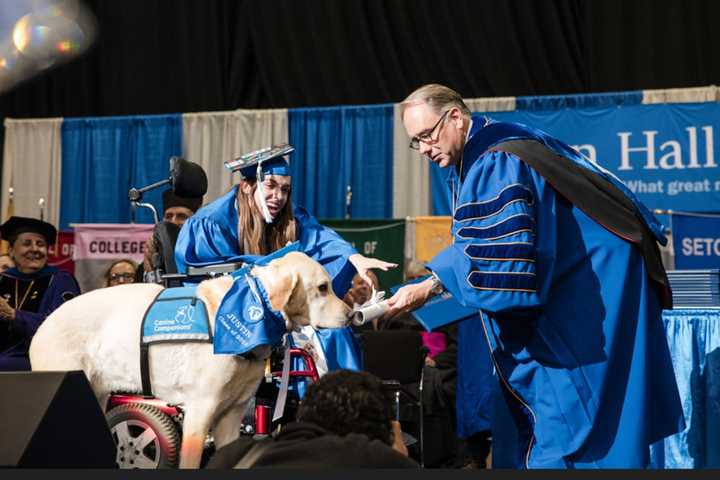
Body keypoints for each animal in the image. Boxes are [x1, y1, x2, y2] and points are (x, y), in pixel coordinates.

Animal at [31, 251, 352, 468]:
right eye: (322, 288)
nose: (353, 315)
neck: (253, 308)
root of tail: (44, 323)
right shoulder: (200, 410)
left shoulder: (232, 415)